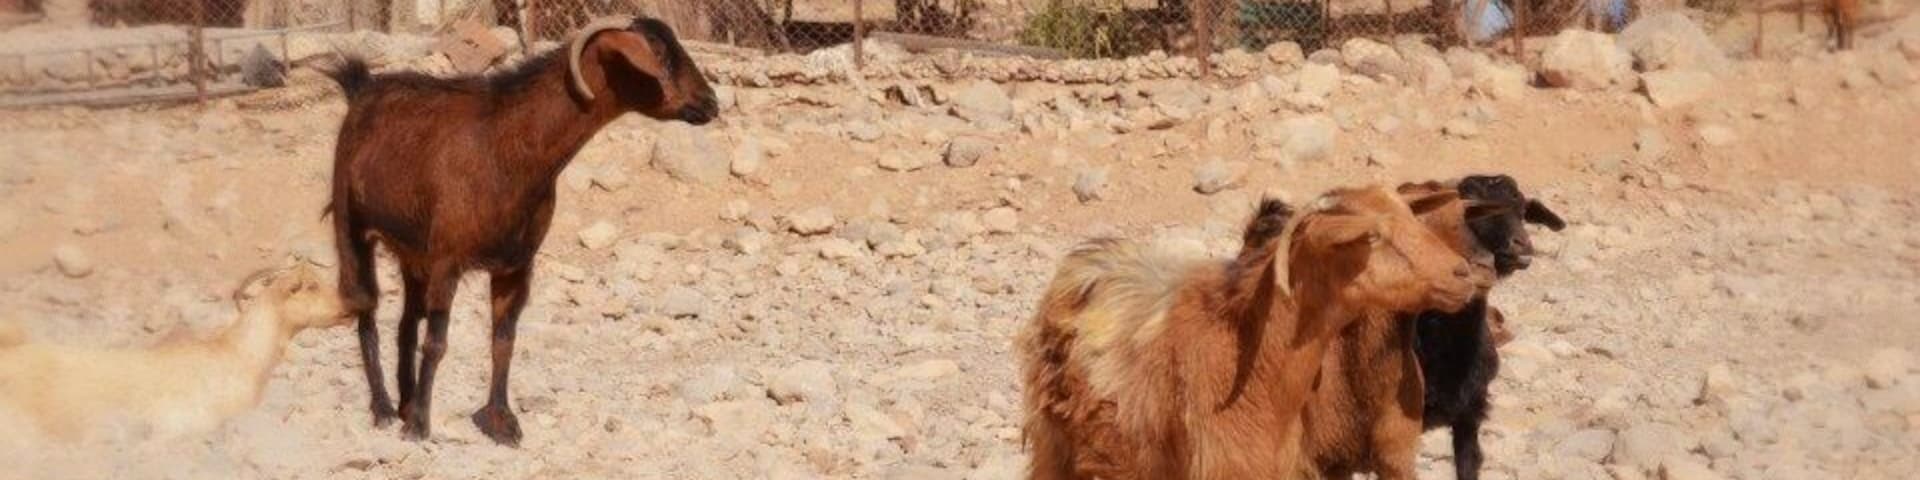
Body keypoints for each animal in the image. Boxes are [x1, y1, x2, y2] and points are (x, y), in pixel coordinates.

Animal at [322, 15, 719, 445]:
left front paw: (501, 421)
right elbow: (437, 342)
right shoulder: (448, 260)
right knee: (365, 307)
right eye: (658, 53)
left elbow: (503, 340)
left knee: (406, 323)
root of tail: (361, 89)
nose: (710, 102)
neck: (507, 146)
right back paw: (383, 409)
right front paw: (420, 427)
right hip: (352, 226)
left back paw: (406, 402)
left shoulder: (515, 265)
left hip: (414, 254)